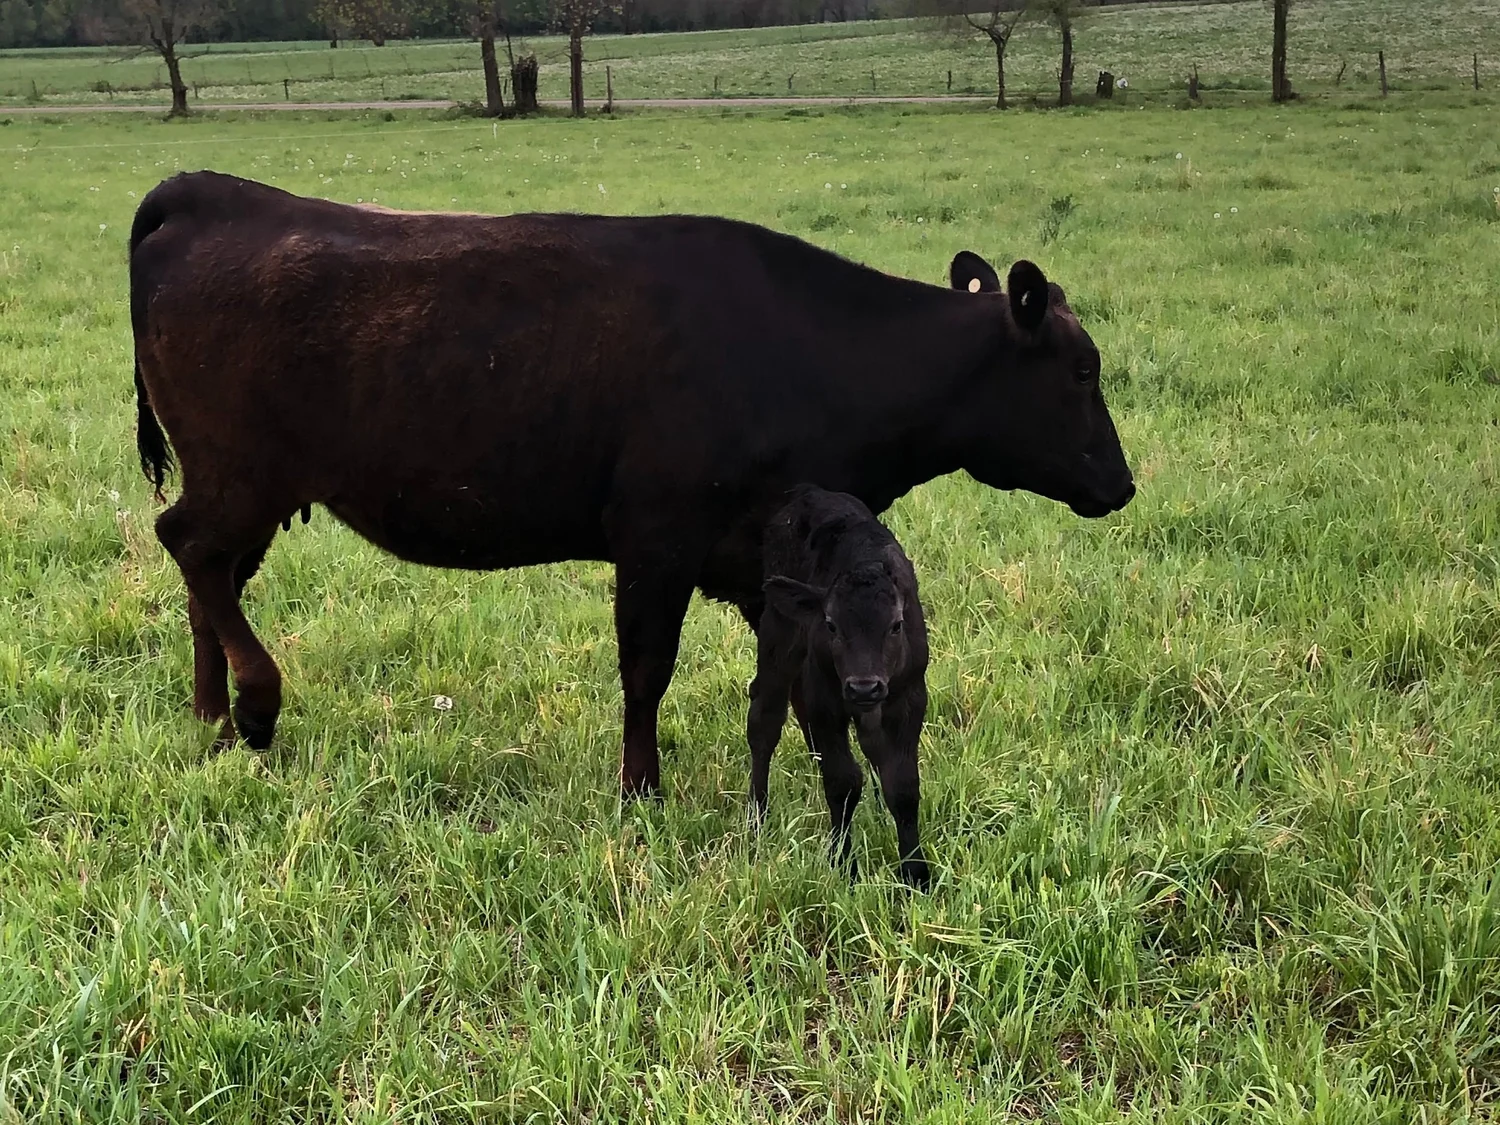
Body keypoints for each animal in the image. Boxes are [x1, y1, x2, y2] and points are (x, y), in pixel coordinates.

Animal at [128, 171, 1135, 802]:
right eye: (1084, 369)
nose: (1123, 484)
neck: (811, 352)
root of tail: (207, 192)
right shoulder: (657, 534)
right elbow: (647, 668)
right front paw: (641, 788)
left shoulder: (764, 560)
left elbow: (782, 683)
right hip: (242, 474)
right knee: (189, 547)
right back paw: (255, 704)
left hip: (244, 487)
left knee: (208, 574)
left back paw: (213, 718)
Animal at [751, 486, 931, 888]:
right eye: (831, 624)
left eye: (896, 625)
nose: (864, 687)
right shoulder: (825, 702)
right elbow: (842, 782)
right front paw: (843, 864)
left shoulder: (910, 699)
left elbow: (904, 785)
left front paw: (915, 874)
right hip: (777, 635)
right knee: (764, 719)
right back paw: (757, 818)